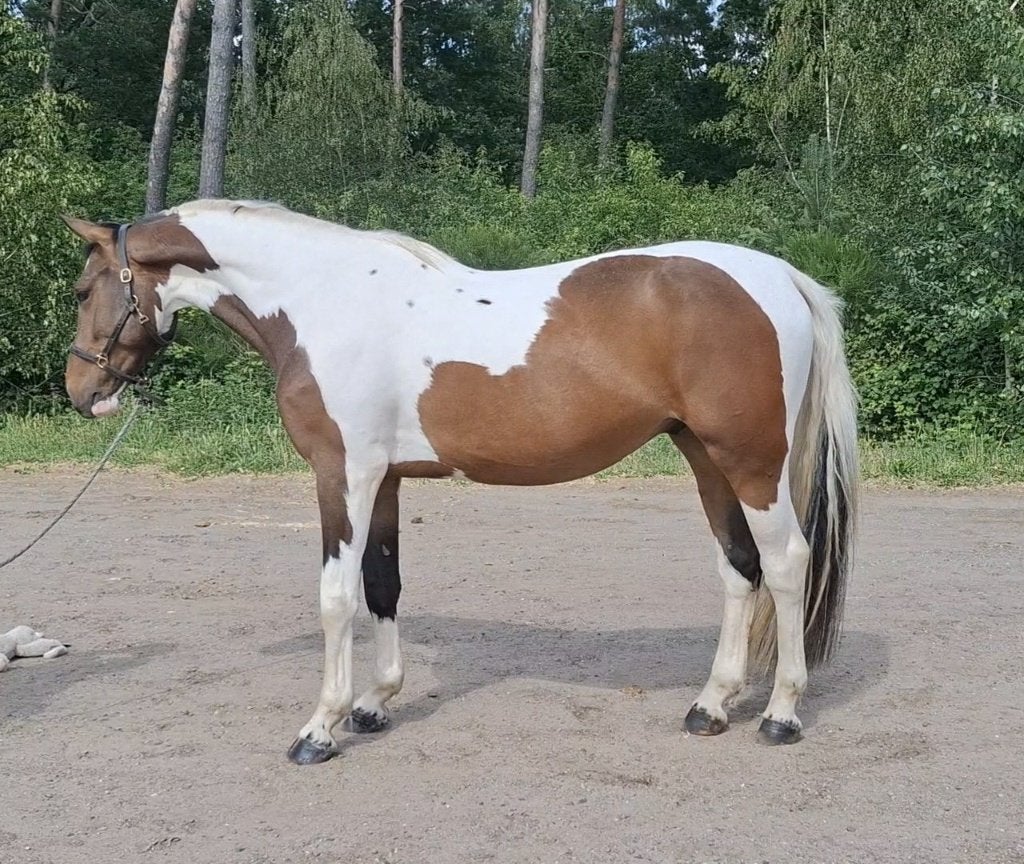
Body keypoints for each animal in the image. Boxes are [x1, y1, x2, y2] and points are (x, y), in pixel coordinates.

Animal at [62, 200, 857, 765]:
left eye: (81, 289)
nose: (81, 392)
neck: (325, 301)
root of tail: (779, 277)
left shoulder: (342, 474)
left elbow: (335, 597)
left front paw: (321, 727)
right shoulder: (382, 481)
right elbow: (382, 586)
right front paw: (375, 703)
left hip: (750, 462)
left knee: (785, 564)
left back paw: (781, 715)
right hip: (704, 457)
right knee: (739, 569)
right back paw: (711, 705)